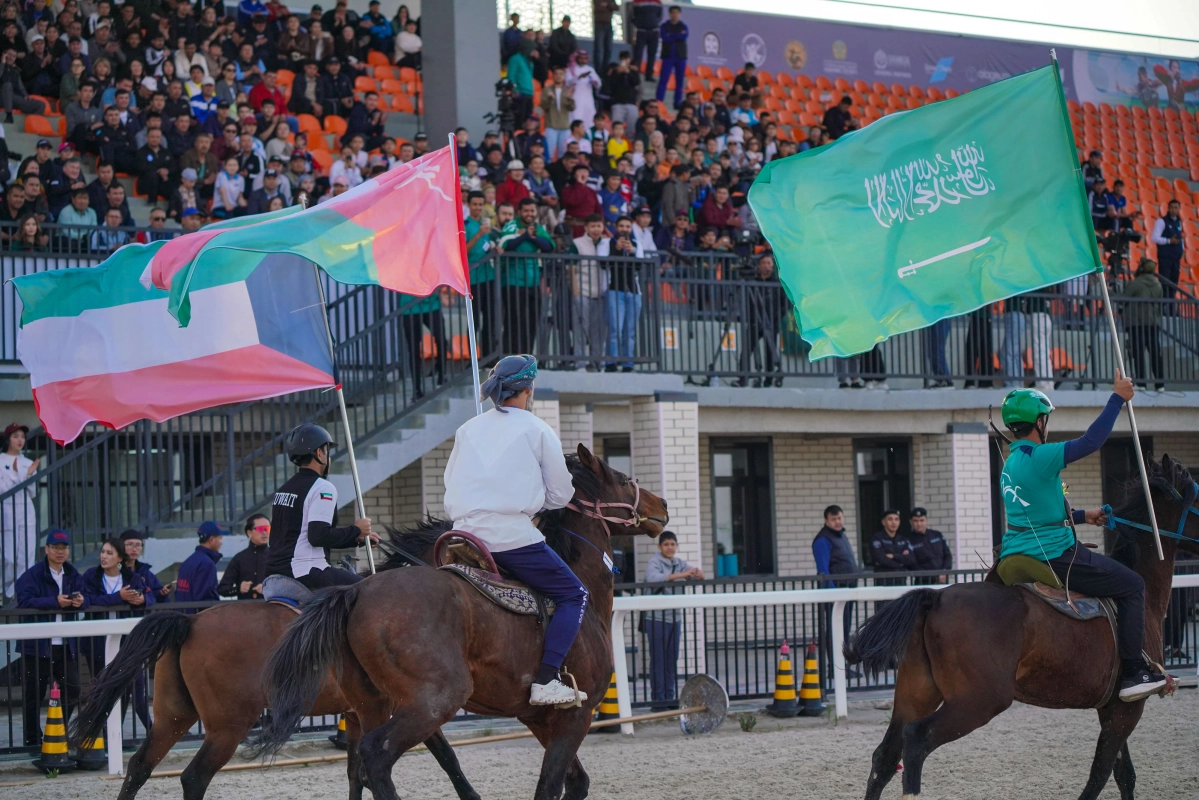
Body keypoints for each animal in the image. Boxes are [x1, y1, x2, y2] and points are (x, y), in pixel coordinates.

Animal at [70, 525, 477, 800]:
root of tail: (191, 622)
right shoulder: (410, 704)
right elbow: (446, 757)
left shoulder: (360, 713)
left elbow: (355, 772)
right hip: (227, 725)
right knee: (193, 777)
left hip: (174, 715)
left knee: (141, 766)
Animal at [255, 448, 666, 796]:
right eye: (623, 478)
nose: (661, 505)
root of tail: (356, 593)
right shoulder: (575, 716)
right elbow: (550, 785)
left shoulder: (538, 719)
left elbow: (576, 781)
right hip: (434, 700)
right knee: (376, 755)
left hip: (372, 705)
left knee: (361, 766)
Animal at [844, 455, 1199, 800]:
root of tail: (936, 598)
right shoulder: (1128, 708)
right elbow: (1099, 775)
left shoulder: (1113, 707)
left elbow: (1124, 775)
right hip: (977, 702)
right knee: (916, 742)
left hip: (915, 694)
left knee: (885, 758)